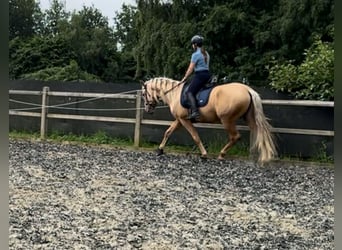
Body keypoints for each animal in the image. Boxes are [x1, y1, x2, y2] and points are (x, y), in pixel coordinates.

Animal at [142, 76, 278, 164]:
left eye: (144, 94)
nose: (148, 109)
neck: (174, 93)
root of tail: (247, 89)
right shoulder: (180, 119)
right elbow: (168, 132)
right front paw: (160, 150)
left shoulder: (184, 120)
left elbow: (195, 136)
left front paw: (204, 155)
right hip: (248, 118)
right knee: (257, 133)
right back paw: (255, 156)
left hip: (227, 120)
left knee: (235, 137)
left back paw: (222, 155)